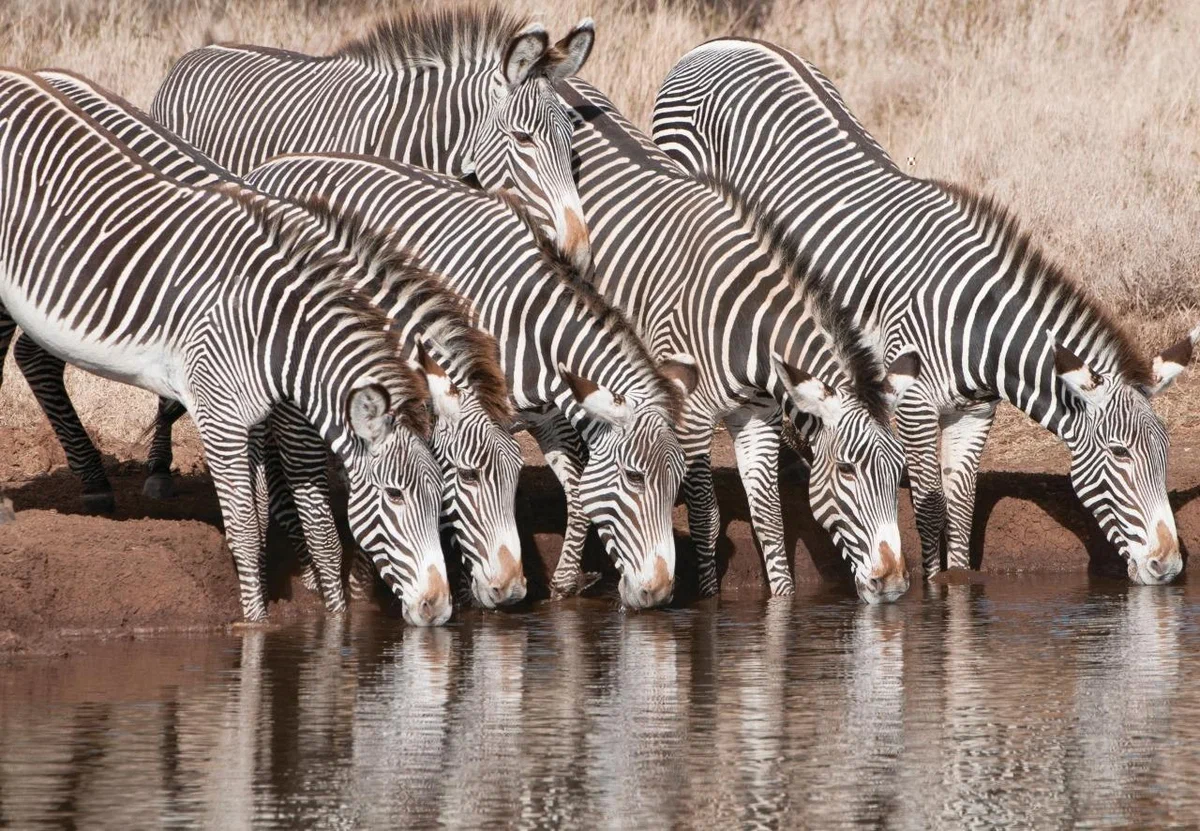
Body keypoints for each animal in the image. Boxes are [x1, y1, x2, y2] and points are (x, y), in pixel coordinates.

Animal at [30, 69, 528, 610]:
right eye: (469, 474)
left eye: (516, 474)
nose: (512, 591)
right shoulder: (293, 417)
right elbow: (313, 512)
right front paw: (328, 591)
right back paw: (98, 483)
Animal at [242, 156, 696, 607]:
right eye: (635, 477)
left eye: (677, 481)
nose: (659, 593)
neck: (531, 328)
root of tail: (267, 168)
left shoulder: (545, 414)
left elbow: (576, 486)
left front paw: (565, 580)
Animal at [552, 79, 916, 602]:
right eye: (848, 470)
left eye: (899, 471)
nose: (893, 586)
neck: (748, 330)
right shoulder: (690, 419)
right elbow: (706, 517)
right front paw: (708, 600)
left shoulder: (757, 418)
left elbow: (769, 518)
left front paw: (781, 601)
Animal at [652, 39, 1195, 583]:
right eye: (1119, 454)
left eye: (1166, 452)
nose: (1168, 567)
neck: (975, 324)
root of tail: (718, 45)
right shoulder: (913, 404)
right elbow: (930, 507)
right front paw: (933, 588)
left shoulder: (975, 411)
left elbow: (962, 504)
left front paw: (958, 581)